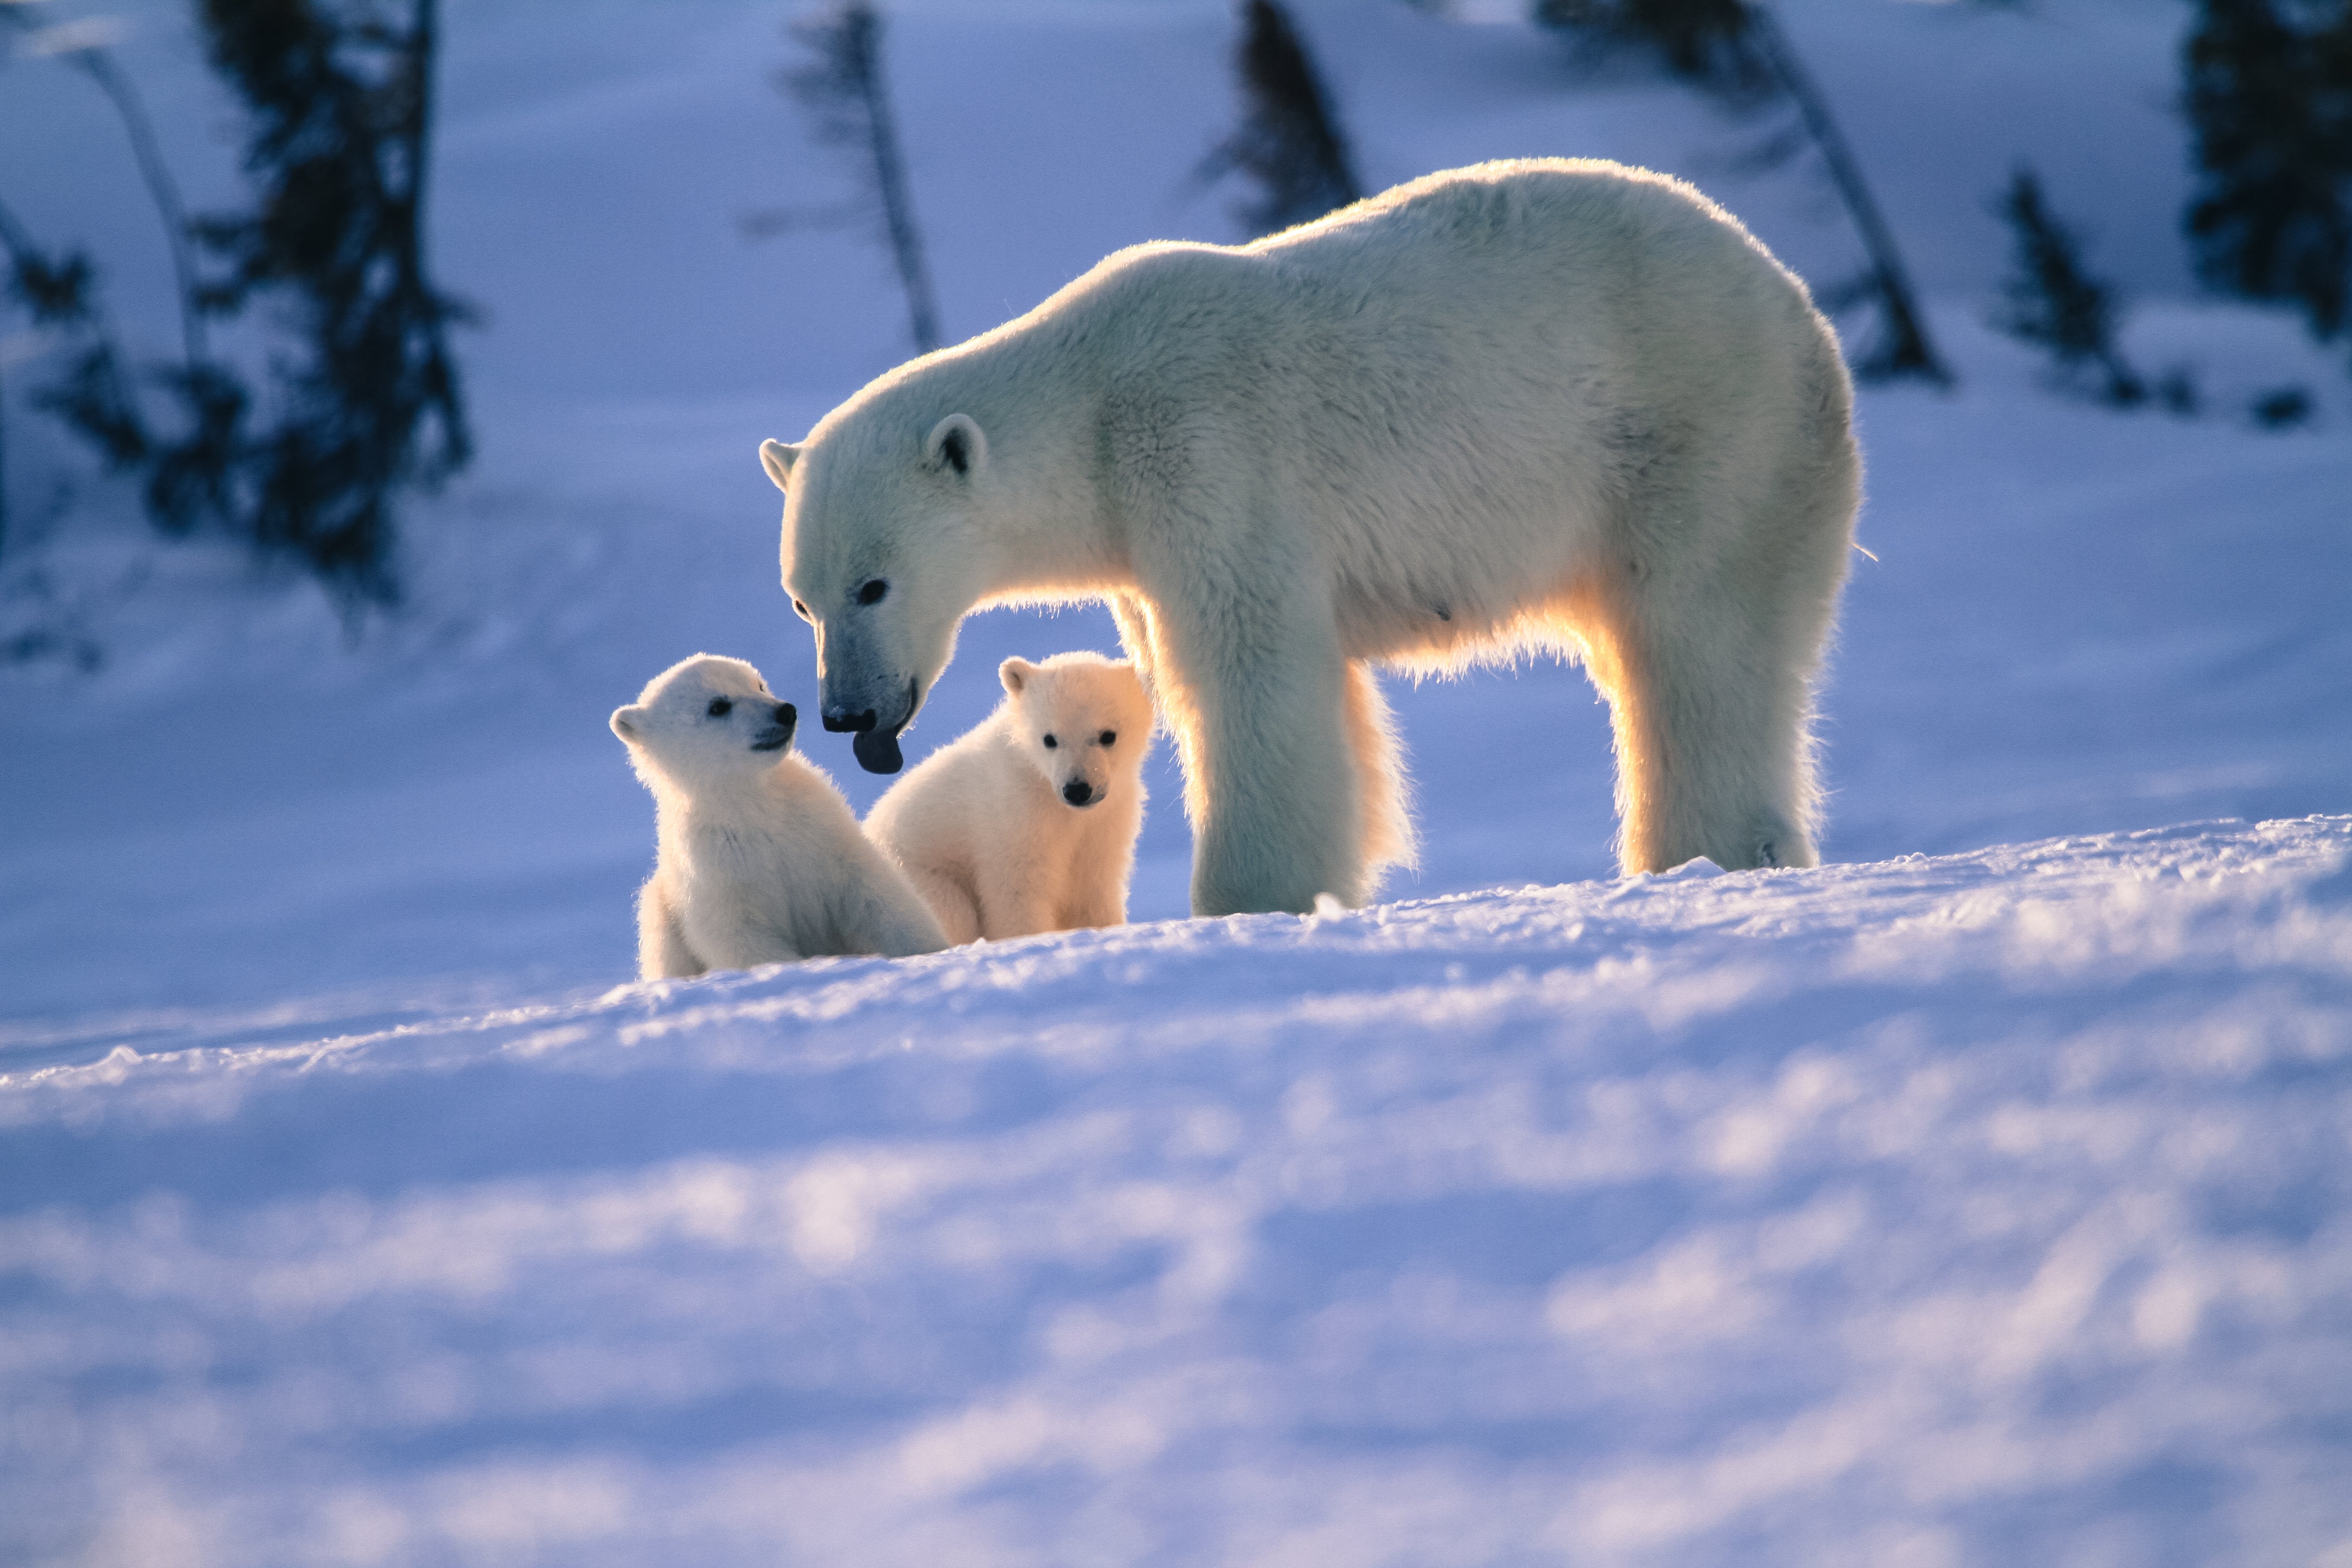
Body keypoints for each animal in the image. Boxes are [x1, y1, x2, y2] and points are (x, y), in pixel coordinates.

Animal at [762, 156, 1862, 921]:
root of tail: (1797, 306)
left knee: (1695, 646)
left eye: (873, 586)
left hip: (1701, 436)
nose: (846, 713)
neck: (1094, 412)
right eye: (802, 599)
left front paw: (1248, 899)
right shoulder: (1139, 548)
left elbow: (1248, 675)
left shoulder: (1208, 458)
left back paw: (1708, 850)